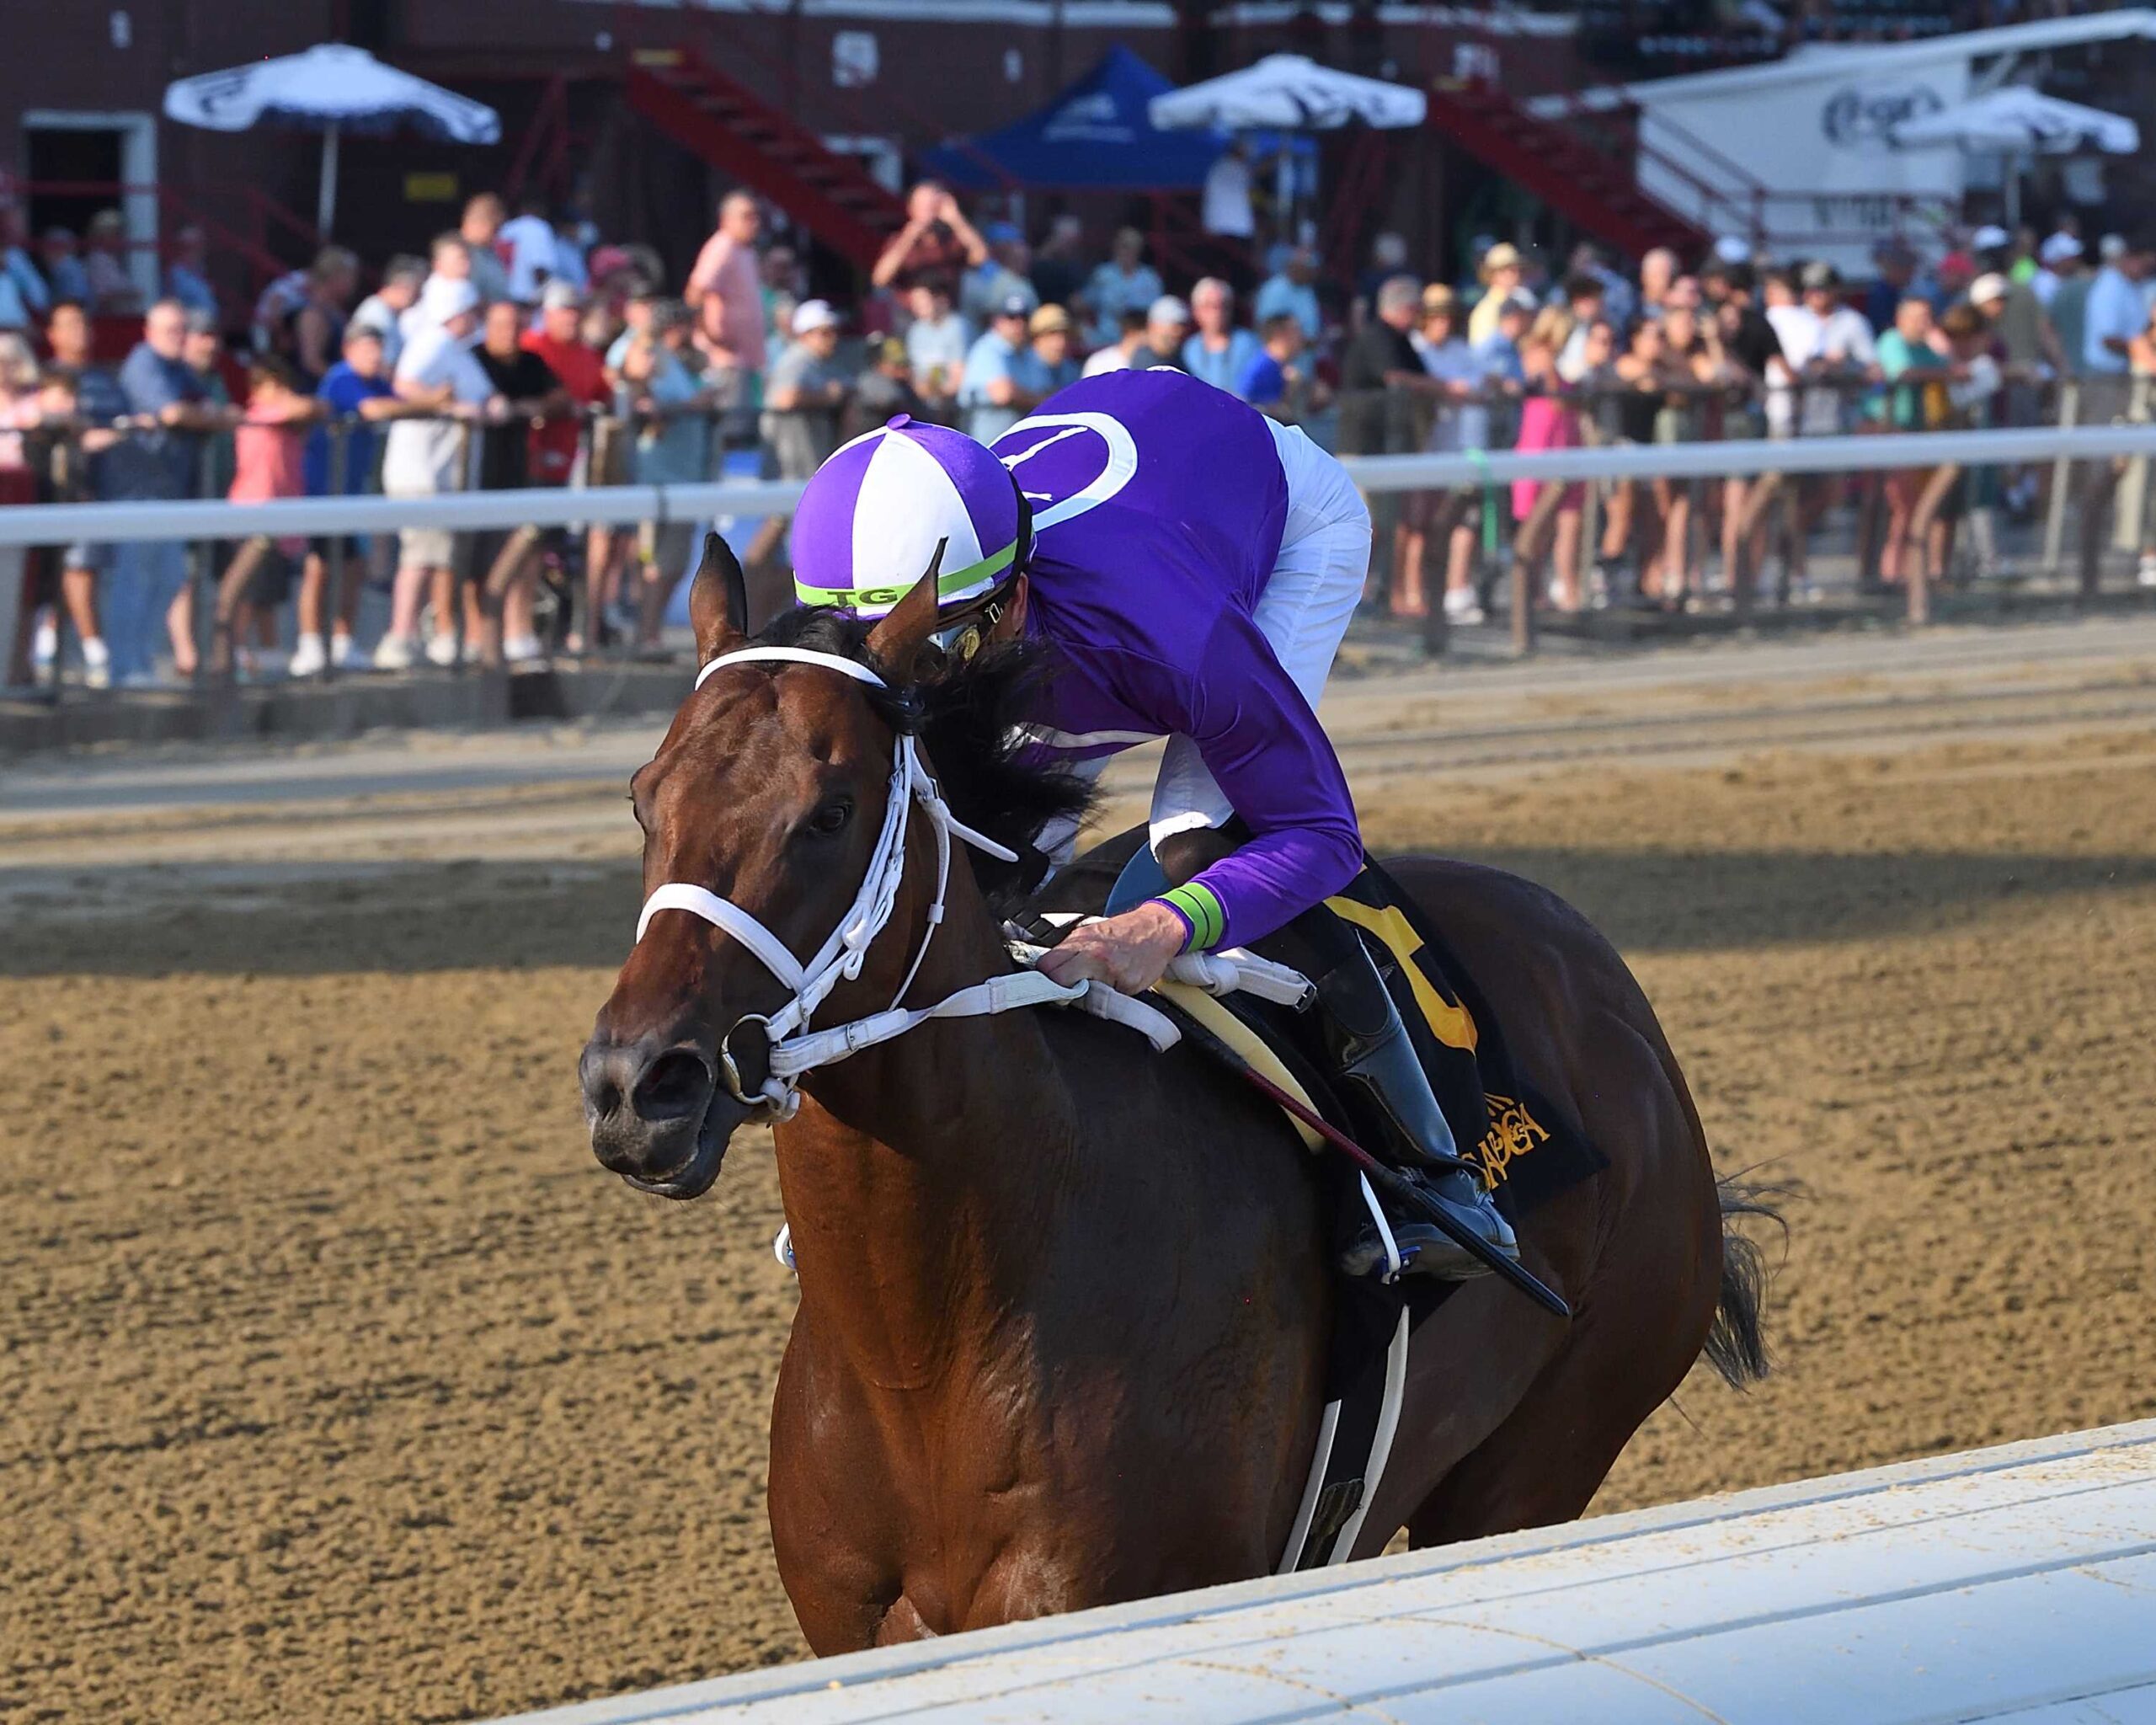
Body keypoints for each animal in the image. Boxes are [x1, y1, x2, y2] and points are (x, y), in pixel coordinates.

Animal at [581, 537, 1772, 1652]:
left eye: (830, 811)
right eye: (643, 797)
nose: (638, 1085)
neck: (931, 1342)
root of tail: (1607, 984)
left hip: (1541, 1454)